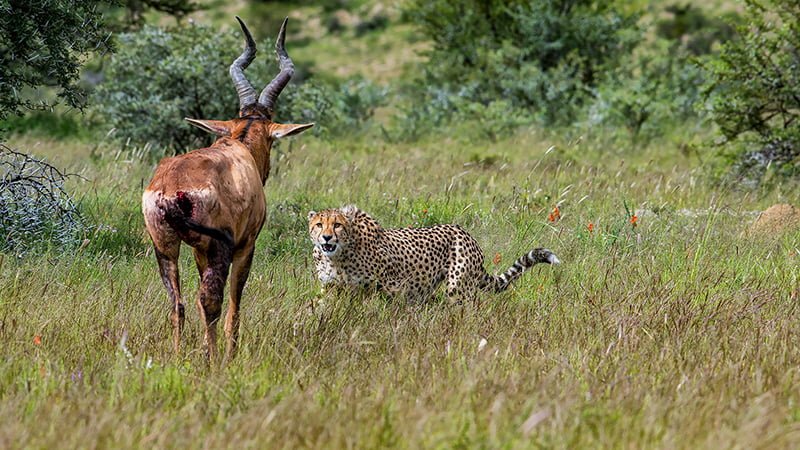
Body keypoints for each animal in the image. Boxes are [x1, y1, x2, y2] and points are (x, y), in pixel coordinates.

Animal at [307, 205, 560, 301]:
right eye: (319, 225)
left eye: (337, 225)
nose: (326, 237)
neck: (338, 257)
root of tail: (466, 233)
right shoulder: (331, 288)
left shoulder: (391, 285)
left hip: (458, 288)